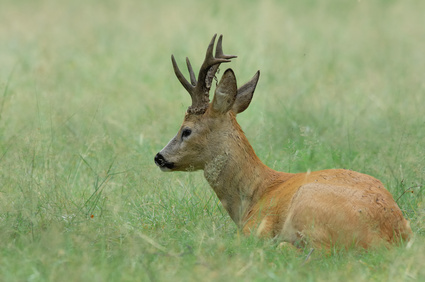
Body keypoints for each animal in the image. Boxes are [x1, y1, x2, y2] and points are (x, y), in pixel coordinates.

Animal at [153, 34, 410, 249]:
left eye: (186, 130)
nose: (159, 157)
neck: (253, 194)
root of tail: (389, 235)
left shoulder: (252, 229)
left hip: (310, 209)